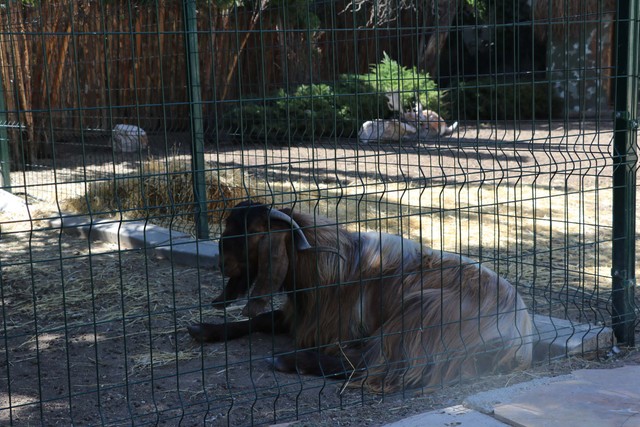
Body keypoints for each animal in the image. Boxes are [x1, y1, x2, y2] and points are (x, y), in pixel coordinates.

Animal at [190, 201, 536, 394]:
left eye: (245, 231)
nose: (221, 264)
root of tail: (518, 333)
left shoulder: (335, 329)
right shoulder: (299, 317)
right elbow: (261, 318)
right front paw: (206, 329)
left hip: (418, 312)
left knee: (372, 363)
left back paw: (289, 361)